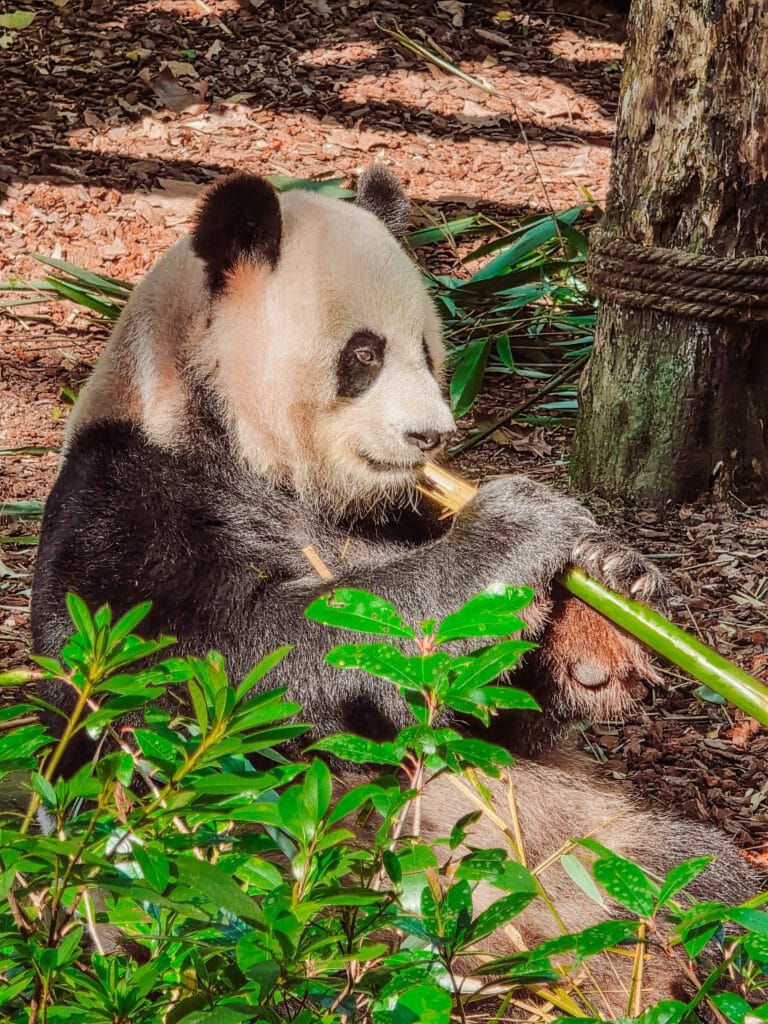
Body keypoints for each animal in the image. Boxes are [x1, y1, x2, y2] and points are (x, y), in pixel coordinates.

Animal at [31, 166, 761, 1010]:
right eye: (365, 354)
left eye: (429, 352)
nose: (431, 436)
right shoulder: (127, 502)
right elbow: (229, 667)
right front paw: (519, 526)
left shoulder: (403, 509)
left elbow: (494, 713)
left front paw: (605, 606)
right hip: (288, 881)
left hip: (588, 838)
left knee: (698, 878)